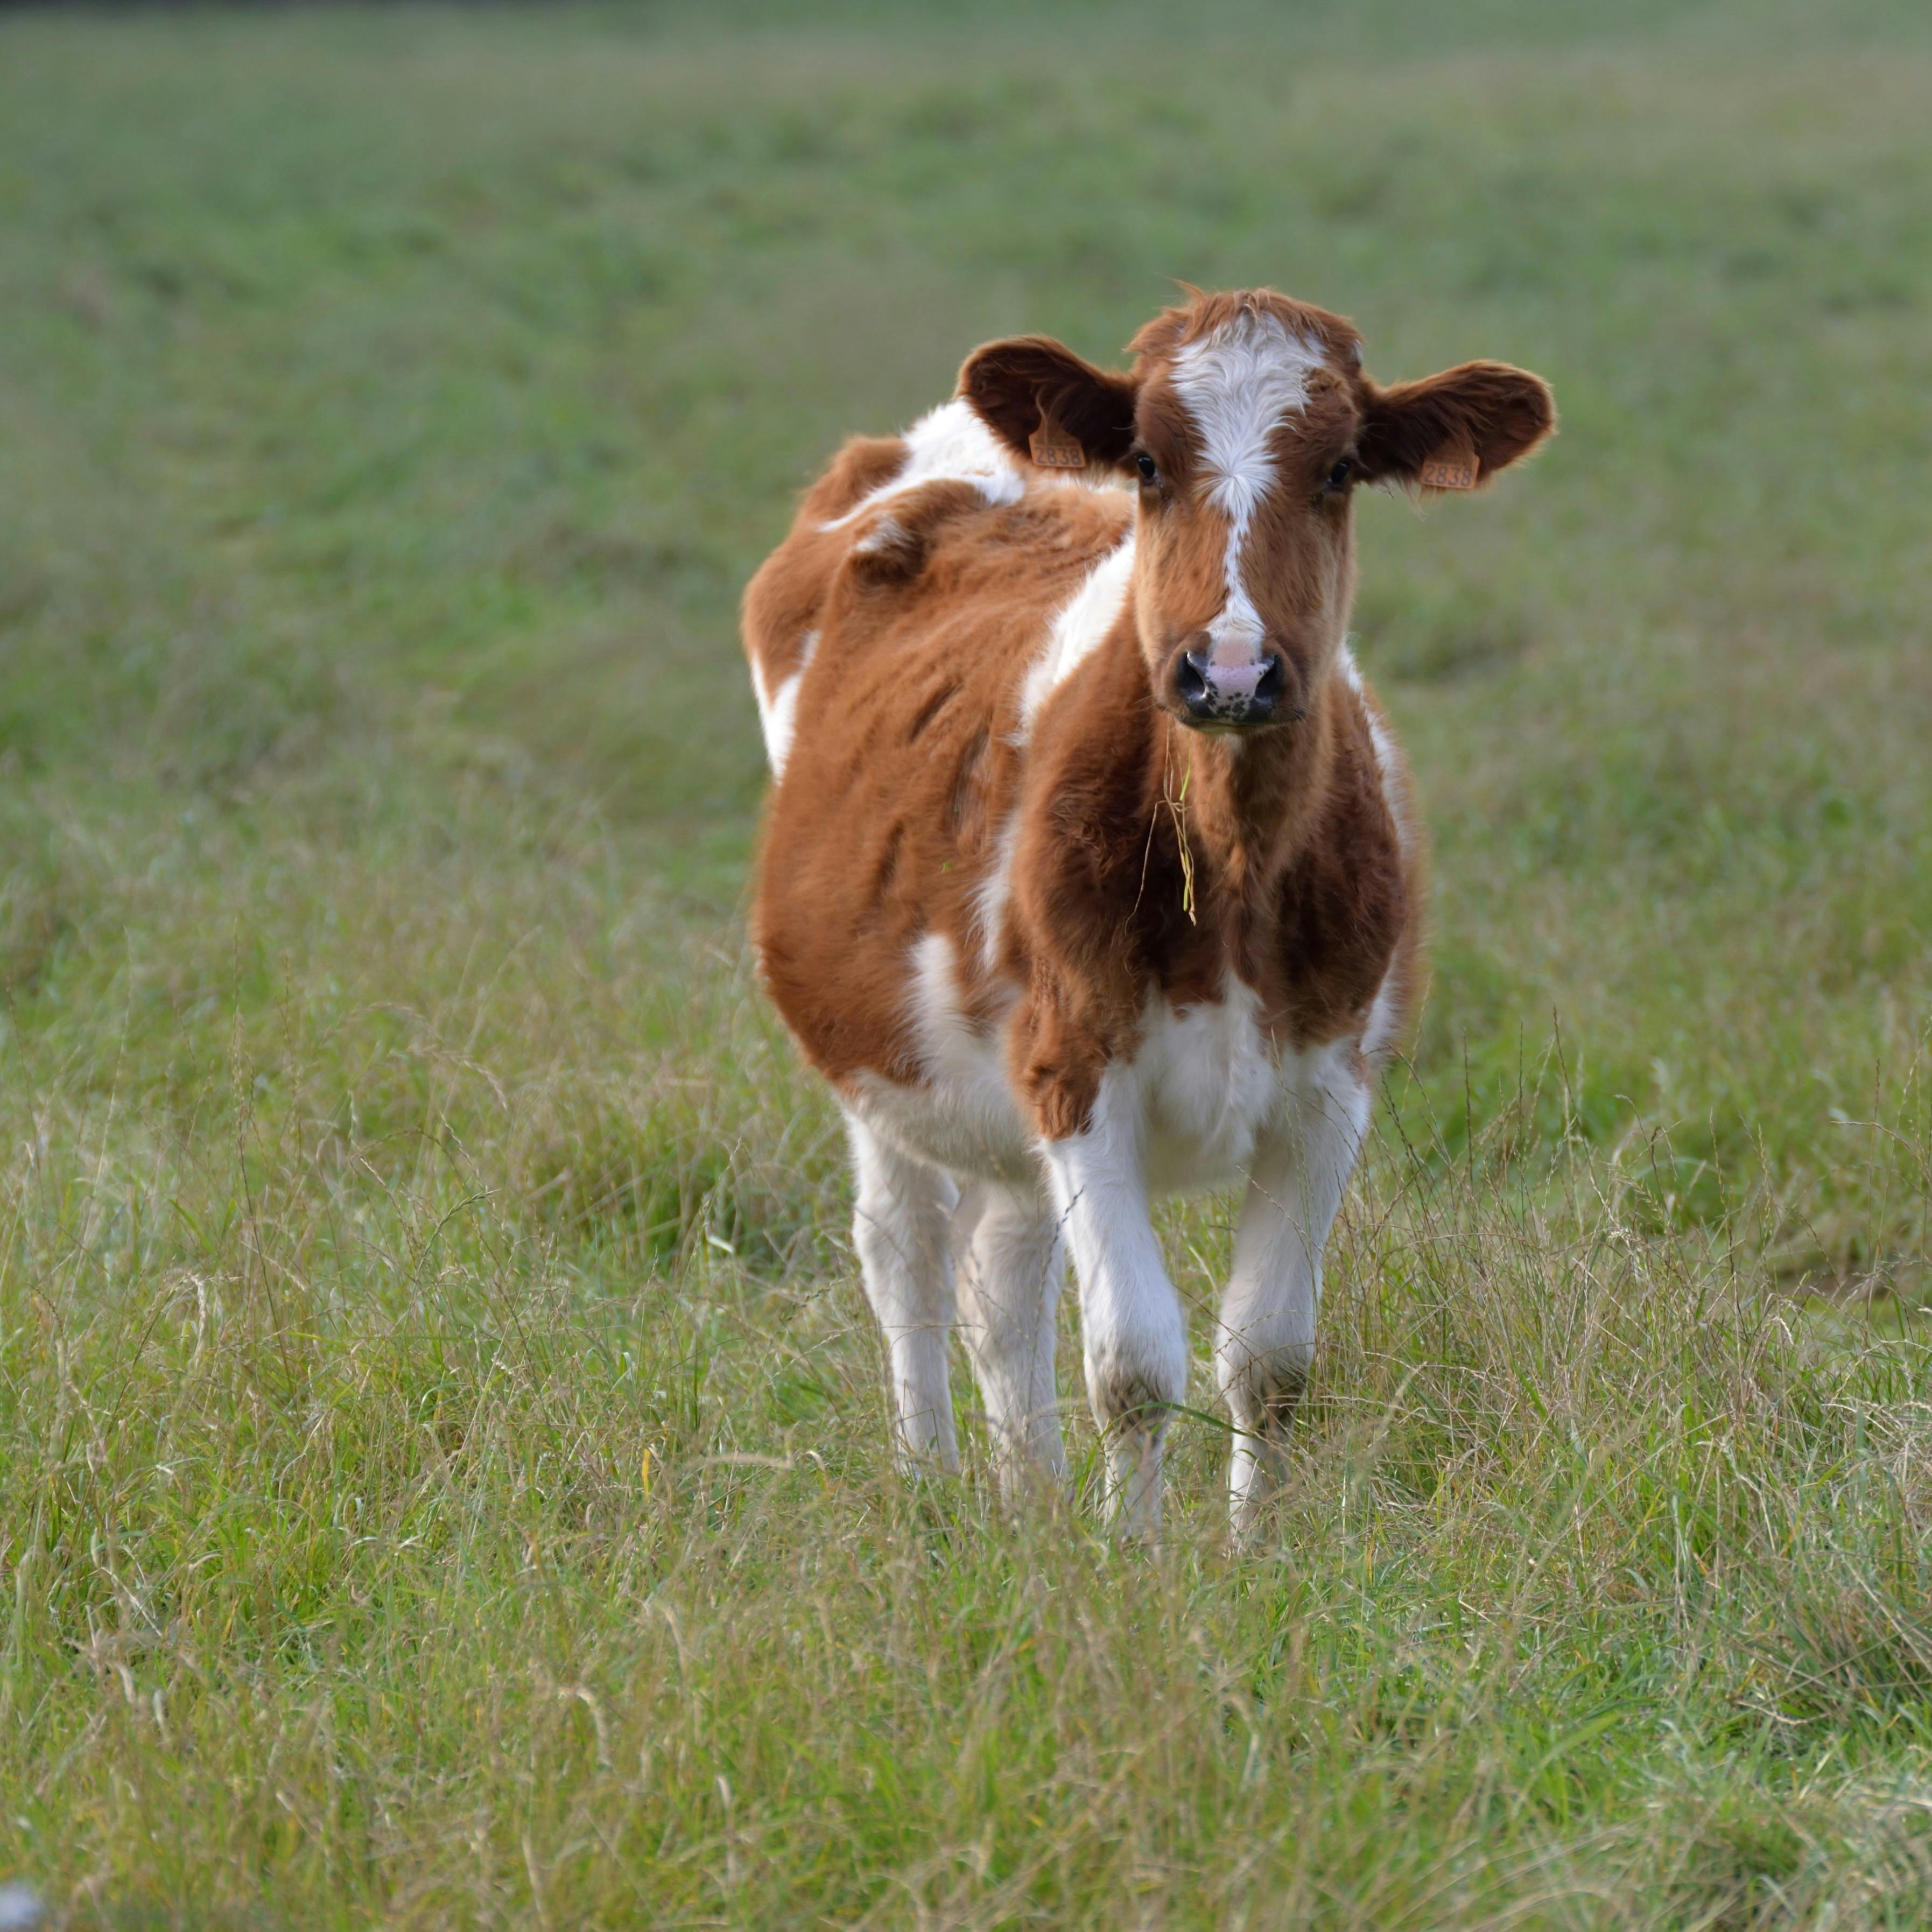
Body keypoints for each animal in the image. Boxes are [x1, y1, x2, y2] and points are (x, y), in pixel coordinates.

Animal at [742, 286, 1553, 1530]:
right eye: (1147, 461)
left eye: (1339, 468)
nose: (1229, 672)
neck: (1229, 871)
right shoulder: (1078, 1069)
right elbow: (1133, 1360)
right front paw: (1137, 1554)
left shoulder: (1328, 1088)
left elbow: (1267, 1359)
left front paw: (1251, 1550)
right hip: (885, 1057)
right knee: (905, 1255)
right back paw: (932, 1483)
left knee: (997, 1278)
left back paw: (1031, 1504)